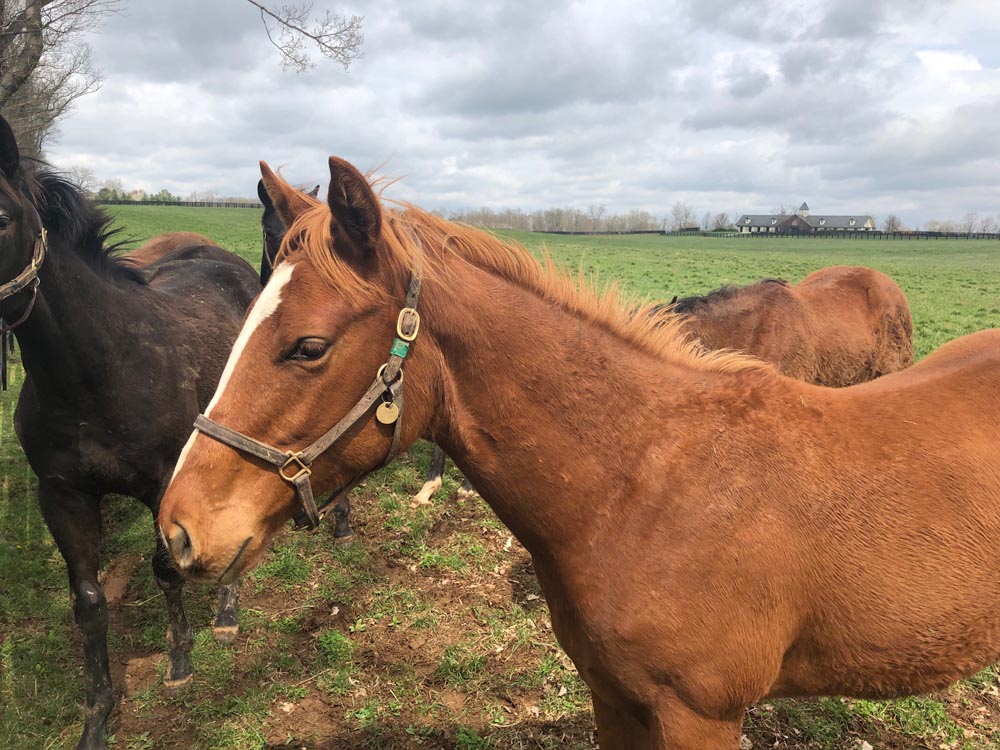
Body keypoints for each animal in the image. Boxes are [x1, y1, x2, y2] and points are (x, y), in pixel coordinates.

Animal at [0, 117, 262, 750]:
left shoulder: (163, 480)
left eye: (2, 217)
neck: (96, 373)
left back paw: (227, 612)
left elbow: (166, 568)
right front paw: (97, 715)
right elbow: (89, 604)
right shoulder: (62, 494)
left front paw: (180, 661)